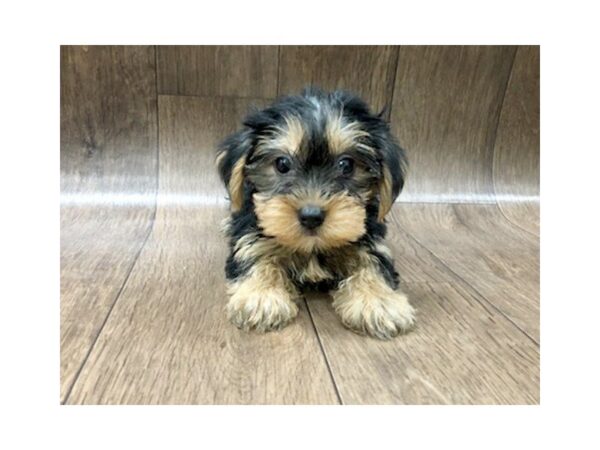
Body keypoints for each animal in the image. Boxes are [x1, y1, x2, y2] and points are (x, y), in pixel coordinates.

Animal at [217, 88, 418, 340]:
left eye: (346, 165)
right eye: (282, 164)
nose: (311, 216)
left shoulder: (370, 240)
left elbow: (373, 263)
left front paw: (378, 301)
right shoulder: (252, 234)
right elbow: (254, 256)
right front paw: (261, 296)